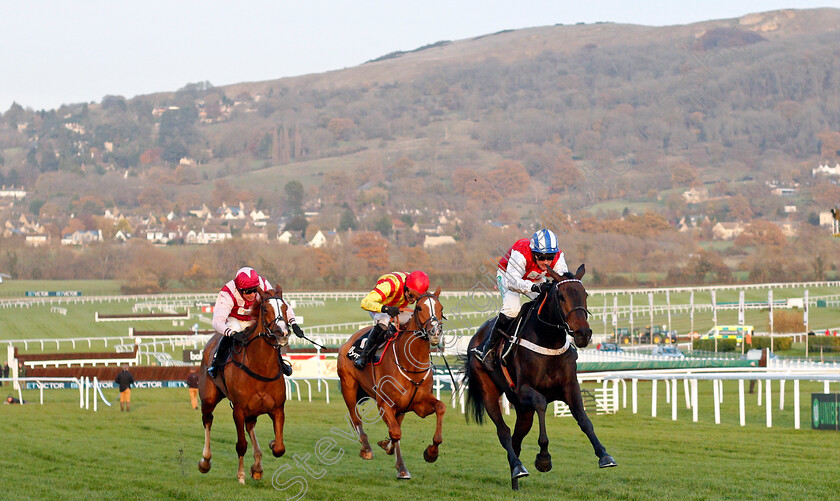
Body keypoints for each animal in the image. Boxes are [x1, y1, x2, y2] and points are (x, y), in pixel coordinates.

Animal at [197, 290, 292, 484]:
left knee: (250, 426)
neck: (261, 366)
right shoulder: (239, 410)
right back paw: (205, 461)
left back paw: (257, 465)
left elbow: (279, 448)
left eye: (285, 307)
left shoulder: (278, 408)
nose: (283, 333)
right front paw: (240, 475)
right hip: (209, 398)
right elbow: (241, 445)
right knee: (207, 420)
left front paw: (269, 447)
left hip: (253, 410)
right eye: (265, 308)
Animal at [338, 292, 450, 478]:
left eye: (441, 308)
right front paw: (399, 463)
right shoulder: (384, 404)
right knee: (356, 419)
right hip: (348, 386)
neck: (412, 365)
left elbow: (440, 407)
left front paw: (431, 452)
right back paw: (366, 448)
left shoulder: (418, 404)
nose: (435, 332)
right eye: (420, 308)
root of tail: (349, 340)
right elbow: (396, 433)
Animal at [462, 264, 612, 490]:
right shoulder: (524, 389)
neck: (549, 341)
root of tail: (475, 339)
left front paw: (604, 455)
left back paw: (515, 476)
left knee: (516, 438)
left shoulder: (570, 386)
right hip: (489, 391)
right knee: (504, 432)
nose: (583, 333)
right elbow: (541, 403)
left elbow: (583, 418)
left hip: (523, 410)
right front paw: (543, 458)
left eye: (584, 294)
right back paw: (518, 467)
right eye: (561, 296)